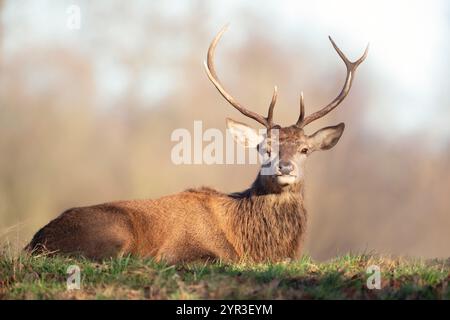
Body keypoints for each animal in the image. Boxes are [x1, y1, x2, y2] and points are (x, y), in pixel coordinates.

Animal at [26, 26, 368, 262]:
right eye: (264, 148)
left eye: (305, 149)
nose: (284, 167)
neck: (250, 241)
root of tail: (35, 242)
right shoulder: (190, 250)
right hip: (114, 231)